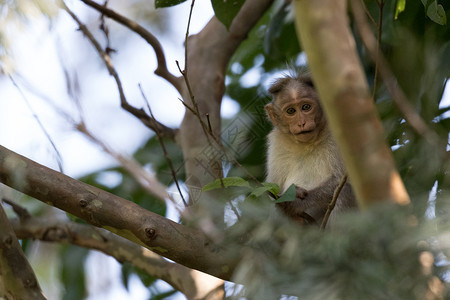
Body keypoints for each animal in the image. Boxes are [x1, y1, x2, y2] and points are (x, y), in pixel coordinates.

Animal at [264, 72, 356, 226]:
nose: (301, 123)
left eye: (306, 107)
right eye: (291, 111)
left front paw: (296, 202)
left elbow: (348, 179)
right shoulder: (277, 143)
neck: (307, 144)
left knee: (346, 190)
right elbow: (272, 193)